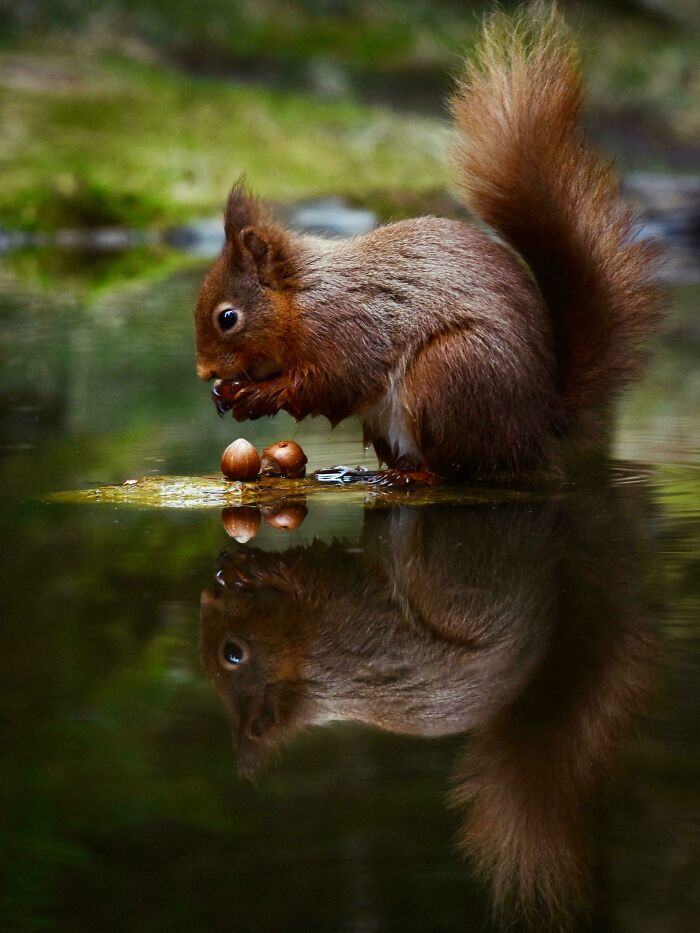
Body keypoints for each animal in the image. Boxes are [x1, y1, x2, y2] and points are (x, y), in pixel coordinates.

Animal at [194, 5, 662, 478]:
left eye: (228, 318)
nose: (203, 372)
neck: (301, 297)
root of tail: (538, 431)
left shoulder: (347, 330)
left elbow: (330, 384)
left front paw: (259, 394)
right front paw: (224, 392)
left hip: (447, 373)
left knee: (455, 467)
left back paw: (411, 476)